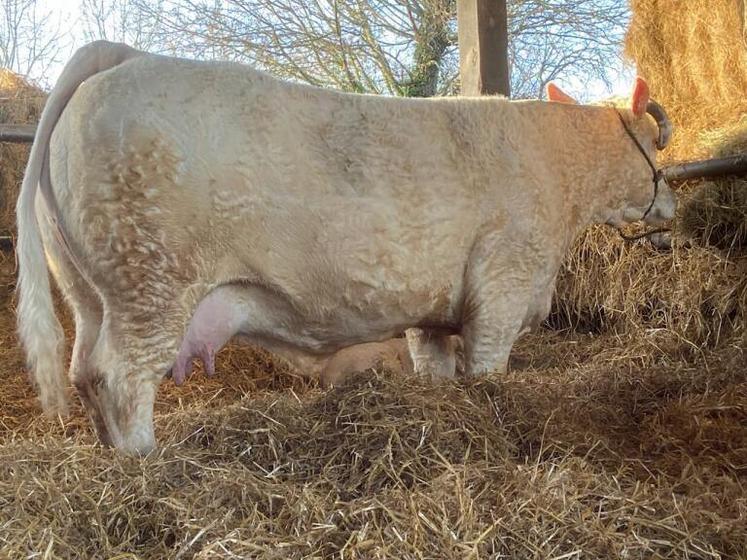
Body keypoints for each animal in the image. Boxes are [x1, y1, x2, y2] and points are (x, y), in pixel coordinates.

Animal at [16, 41, 676, 452]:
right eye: (656, 144)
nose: (671, 202)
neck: (558, 169)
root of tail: (126, 56)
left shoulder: (433, 312)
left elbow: (436, 370)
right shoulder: (505, 282)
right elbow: (488, 371)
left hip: (89, 292)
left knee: (84, 371)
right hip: (149, 283)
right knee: (121, 377)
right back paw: (146, 463)